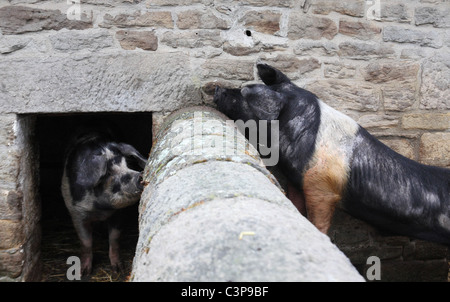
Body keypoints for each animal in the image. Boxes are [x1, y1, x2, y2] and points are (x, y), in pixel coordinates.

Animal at [60, 131, 146, 274]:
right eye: (108, 173)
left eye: (128, 164)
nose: (140, 175)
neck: (100, 209)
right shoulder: (76, 213)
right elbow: (86, 242)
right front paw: (84, 272)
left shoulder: (119, 213)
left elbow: (114, 238)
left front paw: (118, 269)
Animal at [214, 63, 450, 245]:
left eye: (243, 93)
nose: (216, 88)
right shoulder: (298, 181)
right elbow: (296, 204)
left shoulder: (322, 187)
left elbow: (318, 221)